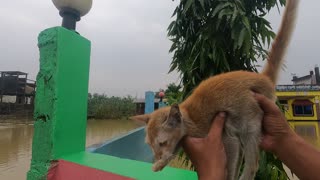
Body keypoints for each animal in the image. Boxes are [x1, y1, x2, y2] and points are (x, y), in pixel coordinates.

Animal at [129, 0, 298, 179]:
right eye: (150, 145)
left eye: (162, 143)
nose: (157, 156)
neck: (190, 117)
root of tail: (263, 78)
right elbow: (176, 149)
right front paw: (160, 164)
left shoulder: (228, 138)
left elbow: (229, 167)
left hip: (250, 127)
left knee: (252, 165)